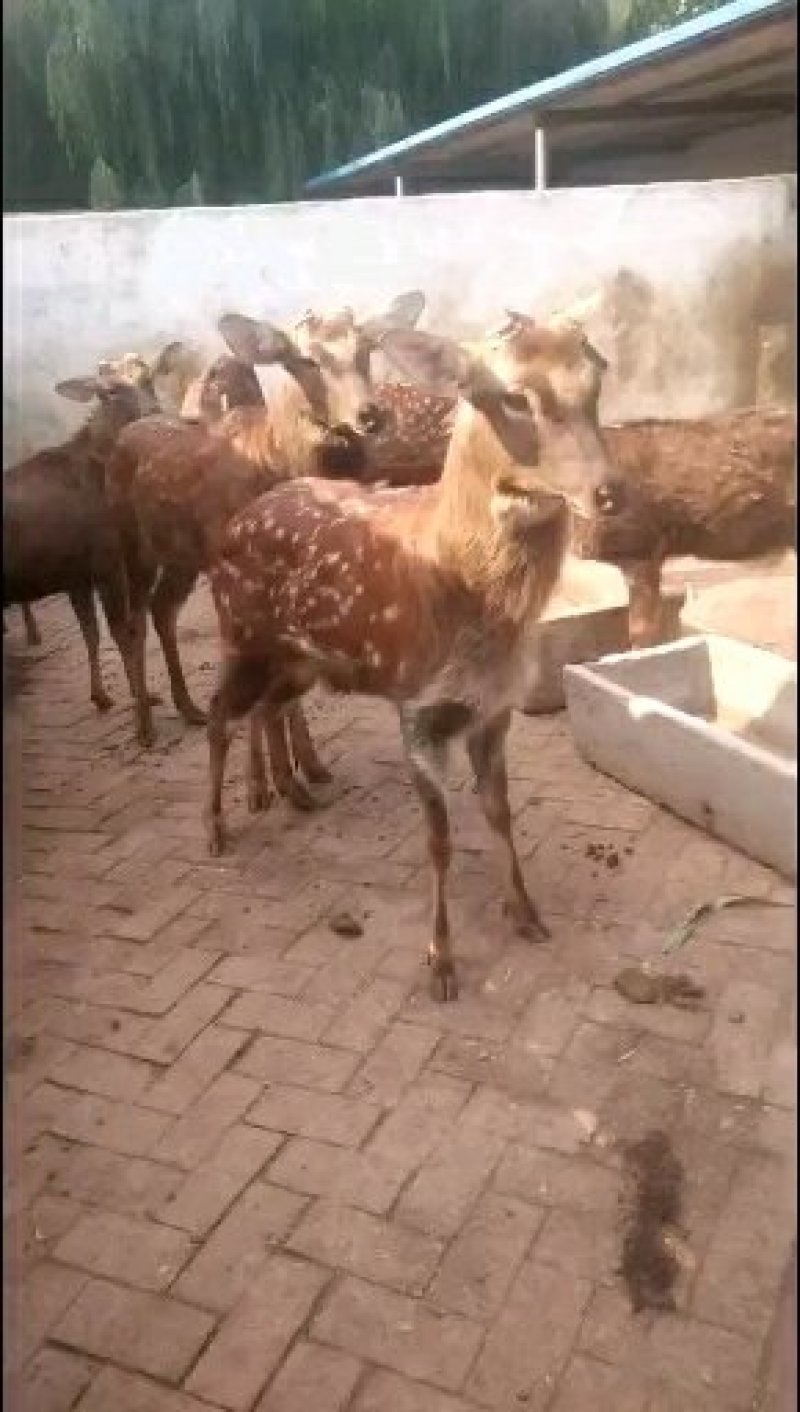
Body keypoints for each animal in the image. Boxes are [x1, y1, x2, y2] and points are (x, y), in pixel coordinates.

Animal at [3, 370, 161, 712]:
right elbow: (122, 632)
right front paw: (141, 694)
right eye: (110, 392)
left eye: (147, 381)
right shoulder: (108, 563)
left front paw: (100, 695)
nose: (154, 412)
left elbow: (91, 633)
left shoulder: (77, 576)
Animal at [203, 310, 630, 1001]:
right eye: (514, 396)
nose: (611, 491)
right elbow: (439, 839)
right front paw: (441, 961)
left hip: (304, 659)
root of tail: (236, 522)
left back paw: (289, 792)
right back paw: (216, 827)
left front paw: (526, 913)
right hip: (240, 632)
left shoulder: (495, 708)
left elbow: (499, 813)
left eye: (598, 373)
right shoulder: (416, 705)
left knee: (266, 708)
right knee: (217, 713)